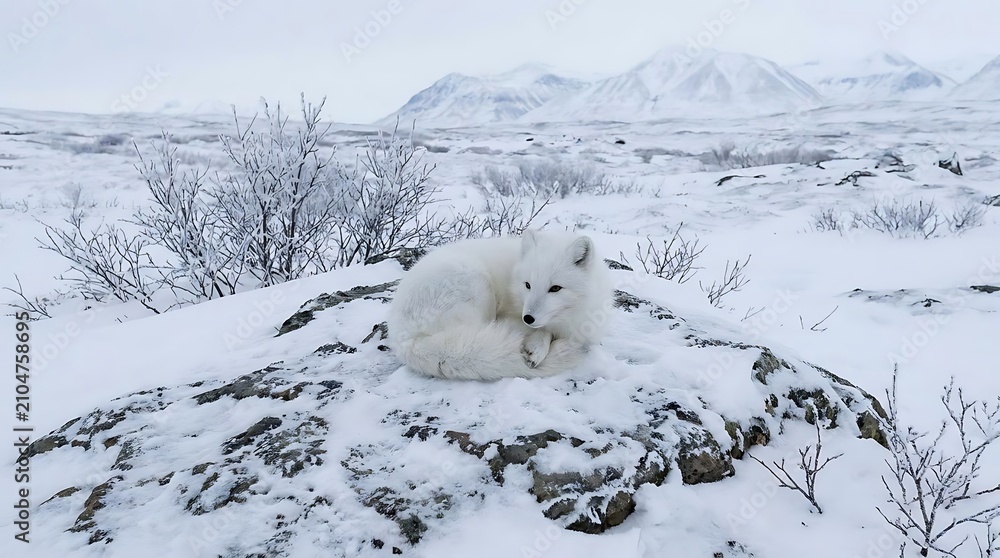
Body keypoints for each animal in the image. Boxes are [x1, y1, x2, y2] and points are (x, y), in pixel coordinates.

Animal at [387, 230, 613, 380]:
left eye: (555, 288)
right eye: (528, 285)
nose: (528, 318)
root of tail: (404, 340)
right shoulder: (511, 314)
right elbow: (543, 331)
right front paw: (536, 347)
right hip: (477, 285)